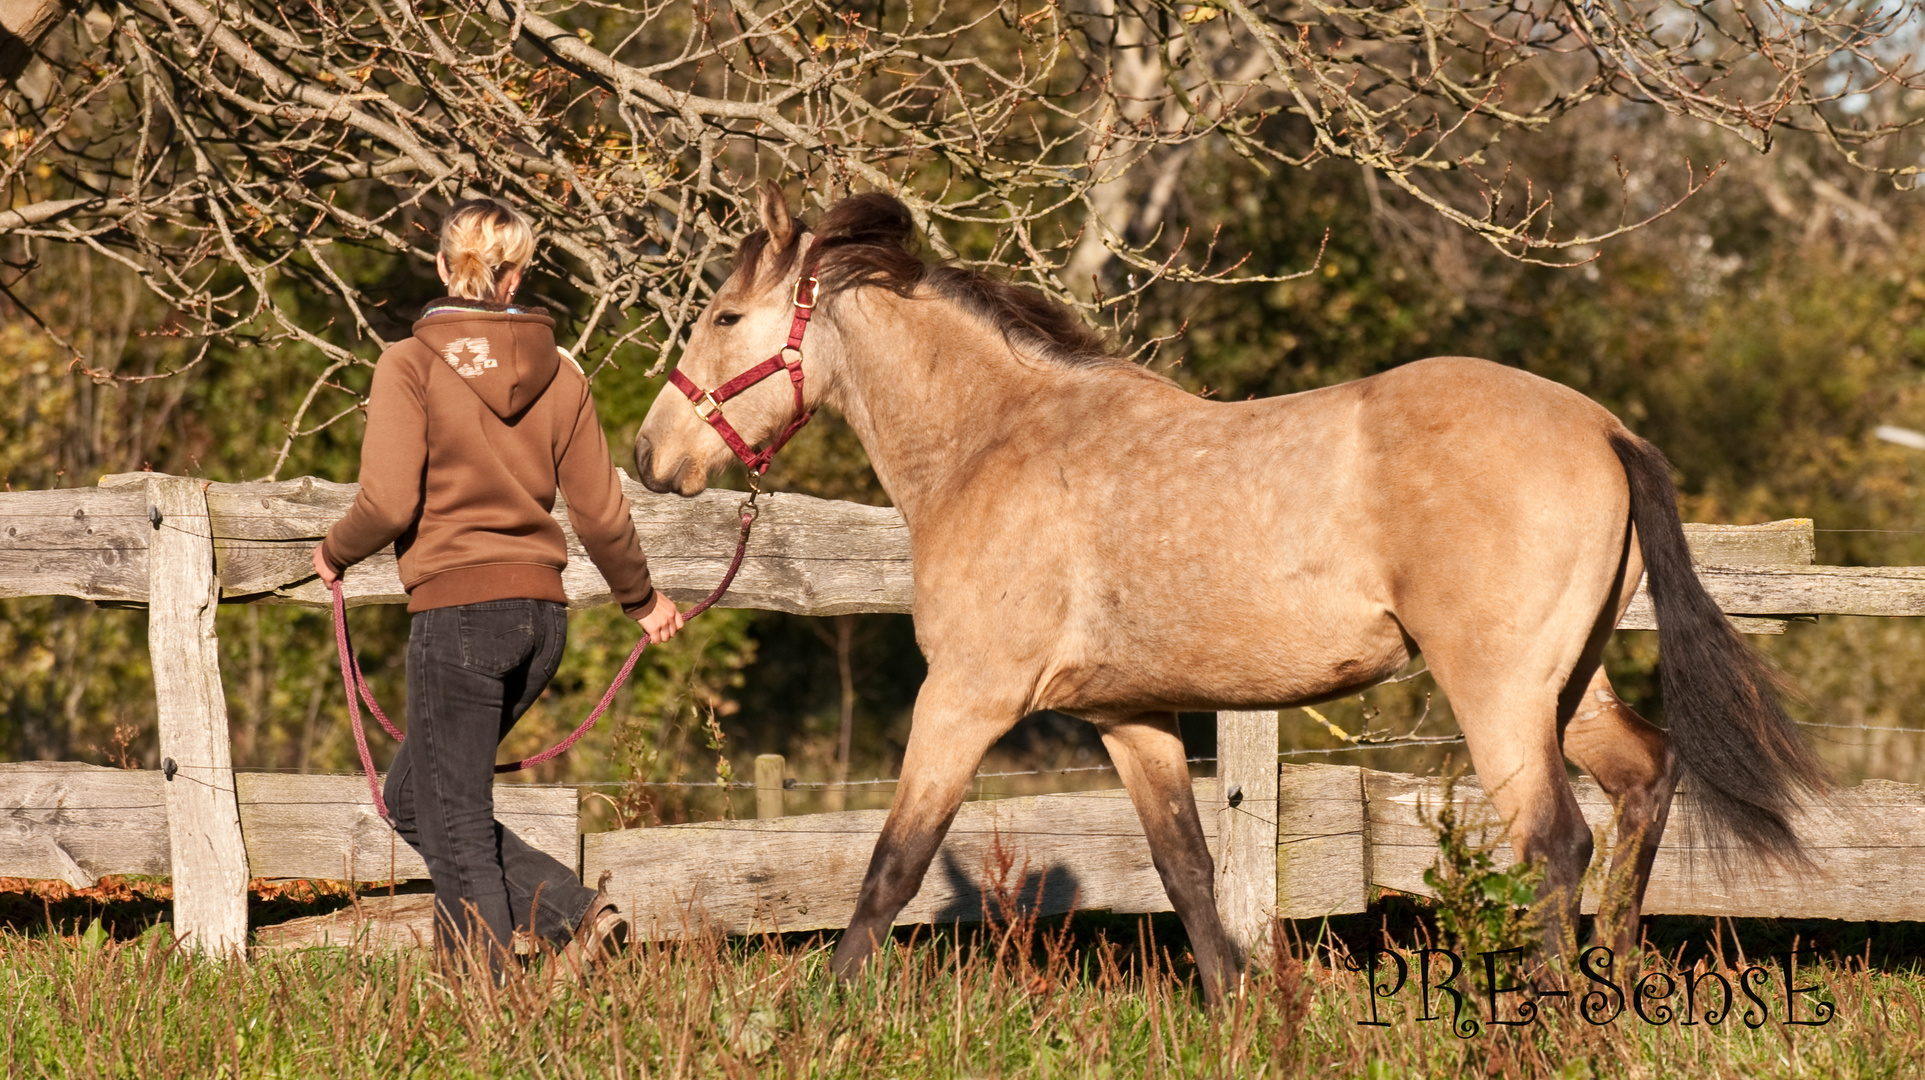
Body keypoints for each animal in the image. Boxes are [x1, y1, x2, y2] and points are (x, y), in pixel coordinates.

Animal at [639, 184, 1824, 1001]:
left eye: (723, 315)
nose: (654, 458)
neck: (997, 445)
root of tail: (1604, 428)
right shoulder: (1130, 719)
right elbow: (1187, 870)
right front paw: (1236, 1011)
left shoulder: (965, 699)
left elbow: (890, 867)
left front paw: (821, 1017)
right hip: (1565, 688)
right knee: (1644, 783)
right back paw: (1612, 989)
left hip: (1497, 695)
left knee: (1555, 843)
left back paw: (1544, 1015)